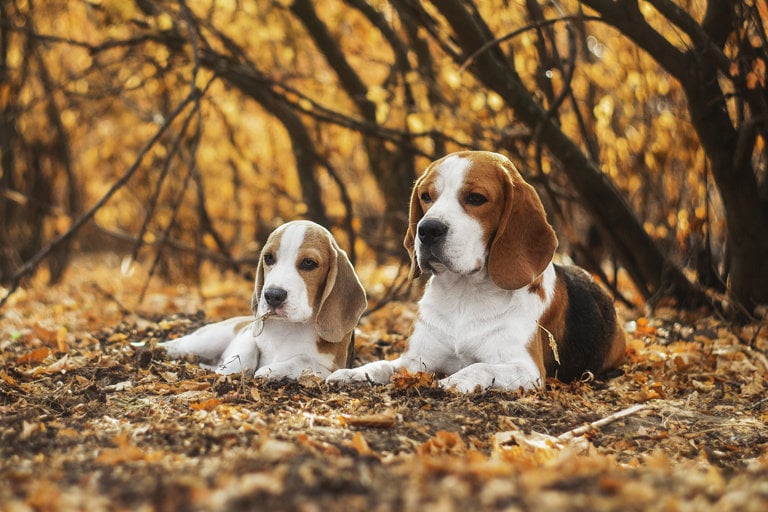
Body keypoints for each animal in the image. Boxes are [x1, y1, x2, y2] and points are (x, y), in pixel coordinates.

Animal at [160, 220, 368, 380]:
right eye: (268, 258)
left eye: (309, 263)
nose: (273, 295)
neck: (290, 328)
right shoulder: (247, 334)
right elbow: (247, 351)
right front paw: (230, 370)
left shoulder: (332, 368)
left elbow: (303, 360)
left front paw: (271, 370)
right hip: (211, 338)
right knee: (182, 343)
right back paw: (160, 349)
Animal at [328, 152, 624, 392]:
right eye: (426, 196)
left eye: (476, 198)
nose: (427, 229)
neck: (464, 295)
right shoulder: (414, 361)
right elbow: (382, 365)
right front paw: (353, 373)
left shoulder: (527, 370)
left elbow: (479, 366)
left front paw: (455, 380)